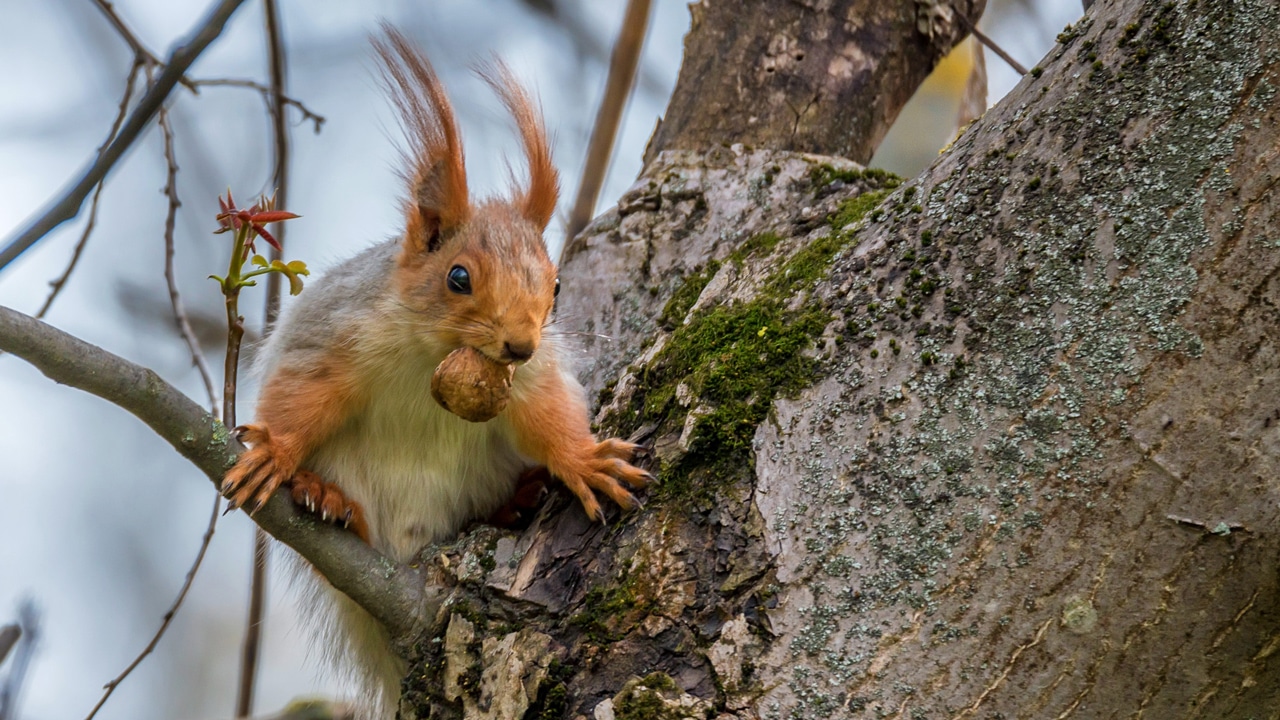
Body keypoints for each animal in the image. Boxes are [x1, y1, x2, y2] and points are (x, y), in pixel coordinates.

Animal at [216, 29, 650, 717]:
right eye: (458, 277)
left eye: (556, 287)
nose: (521, 344)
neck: (432, 355)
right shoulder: (335, 336)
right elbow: (302, 394)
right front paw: (278, 452)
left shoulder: (528, 384)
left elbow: (547, 415)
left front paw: (583, 460)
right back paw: (328, 499)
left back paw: (518, 500)